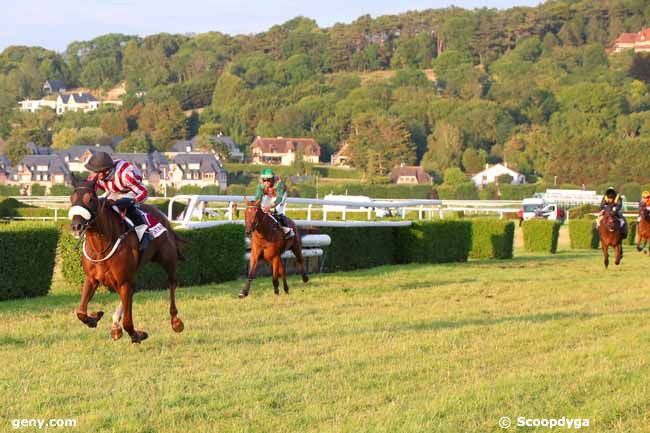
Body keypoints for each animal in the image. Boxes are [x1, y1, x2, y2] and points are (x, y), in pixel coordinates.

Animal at [68, 175, 185, 340]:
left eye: (90, 199)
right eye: (71, 199)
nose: (76, 226)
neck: (101, 246)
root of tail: (163, 216)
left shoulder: (124, 281)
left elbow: (128, 323)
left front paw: (138, 335)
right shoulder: (92, 278)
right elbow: (80, 312)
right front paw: (95, 317)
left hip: (168, 258)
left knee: (172, 282)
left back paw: (176, 321)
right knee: (132, 291)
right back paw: (115, 325)